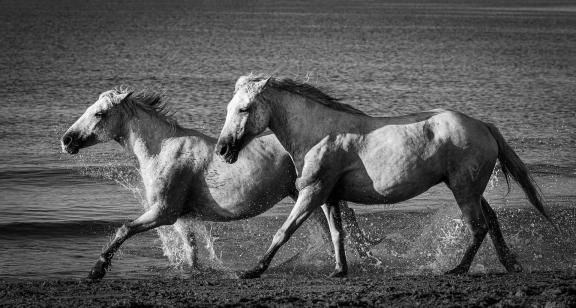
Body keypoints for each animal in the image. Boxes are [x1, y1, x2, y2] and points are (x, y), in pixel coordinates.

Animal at [60, 88, 378, 280]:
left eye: (99, 113)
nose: (67, 140)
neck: (163, 150)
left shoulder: (164, 212)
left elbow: (124, 229)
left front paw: (96, 271)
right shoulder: (182, 216)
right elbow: (191, 250)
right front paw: (193, 272)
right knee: (334, 226)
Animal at [216, 75, 552, 280]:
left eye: (244, 108)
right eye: (230, 107)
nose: (222, 149)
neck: (319, 134)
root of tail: (483, 125)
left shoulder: (312, 192)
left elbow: (283, 232)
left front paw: (253, 270)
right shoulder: (329, 196)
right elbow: (338, 233)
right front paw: (340, 270)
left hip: (464, 191)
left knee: (479, 227)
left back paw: (457, 269)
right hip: (470, 190)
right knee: (491, 221)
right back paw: (510, 263)